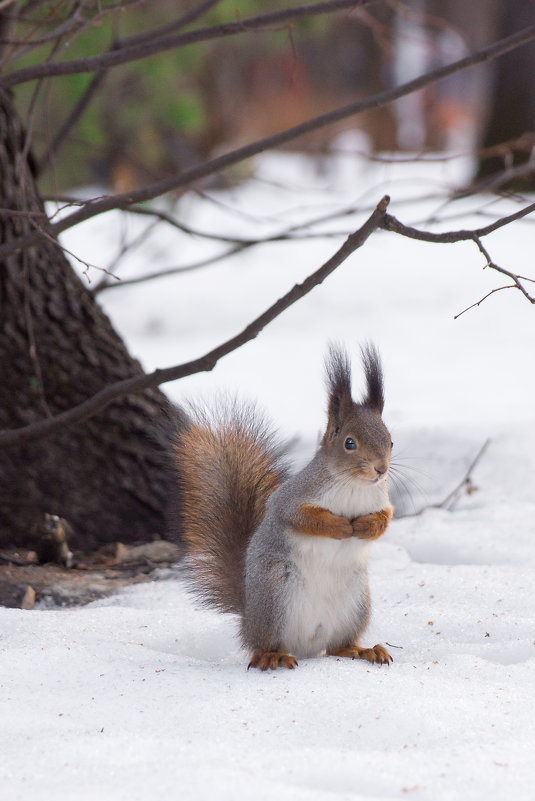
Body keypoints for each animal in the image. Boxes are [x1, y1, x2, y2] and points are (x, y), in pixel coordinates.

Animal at [170, 342, 396, 668]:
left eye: (390, 441)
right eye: (349, 443)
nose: (381, 470)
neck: (354, 486)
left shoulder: (382, 500)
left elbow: (385, 520)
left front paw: (366, 526)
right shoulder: (291, 498)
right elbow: (302, 517)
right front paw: (339, 526)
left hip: (355, 604)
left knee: (338, 646)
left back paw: (363, 650)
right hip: (276, 596)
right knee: (262, 645)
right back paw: (271, 656)